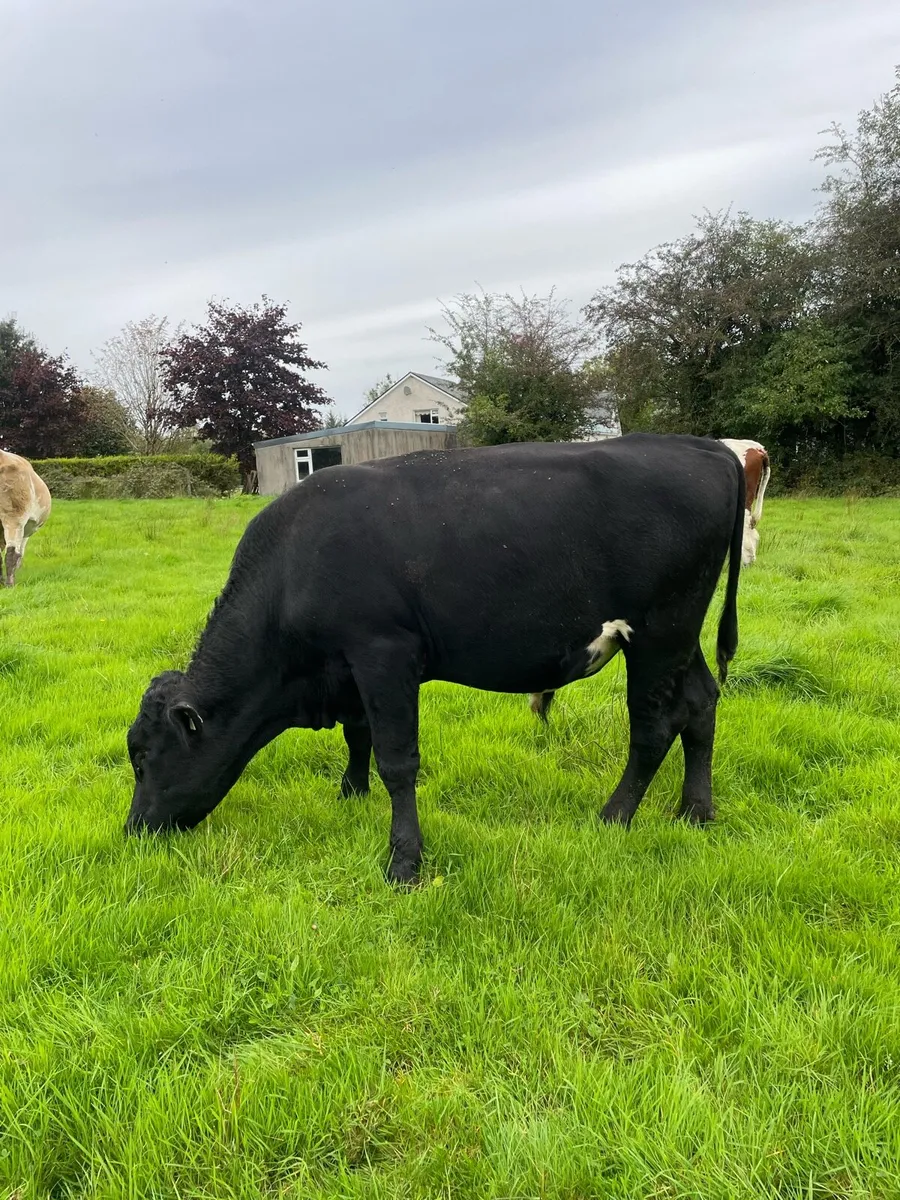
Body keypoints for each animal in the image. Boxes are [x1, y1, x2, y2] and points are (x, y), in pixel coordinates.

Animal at [125, 433, 745, 885]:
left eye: (144, 756)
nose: (133, 831)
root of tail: (702, 445)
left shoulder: (383, 651)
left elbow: (397, 761)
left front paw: (404, 862)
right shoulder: (353, 667)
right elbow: (359, 736)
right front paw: (351, 794)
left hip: (660, 632)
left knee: (654, 725)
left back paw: (614, 816)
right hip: (681, 636)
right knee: (701, 703)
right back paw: (696, 811)